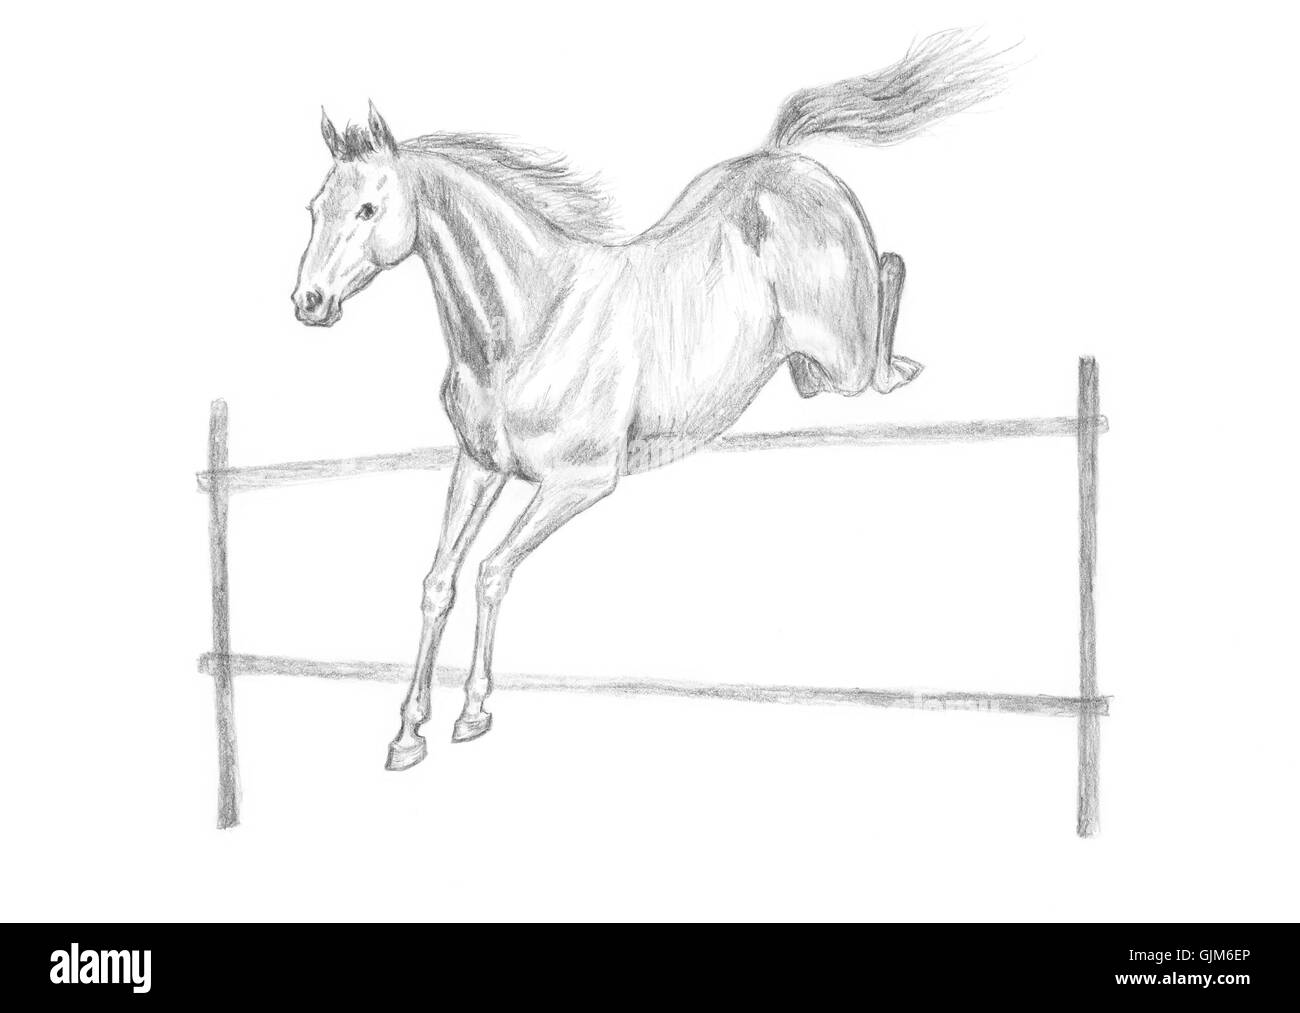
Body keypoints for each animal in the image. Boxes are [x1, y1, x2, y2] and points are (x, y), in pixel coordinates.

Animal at [291, 30, 1008, 769]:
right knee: (827, 352)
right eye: (315, 209)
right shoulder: (480, 466)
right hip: (815, 359)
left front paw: (473, 712)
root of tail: (783, 160)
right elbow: (440, 582)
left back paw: (904, 367)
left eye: (367, 209)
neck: (531, 323)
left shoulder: (578, 482)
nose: (308, 302)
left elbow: (492, 570)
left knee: (888, 286)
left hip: (846, 356)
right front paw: (407, 734)